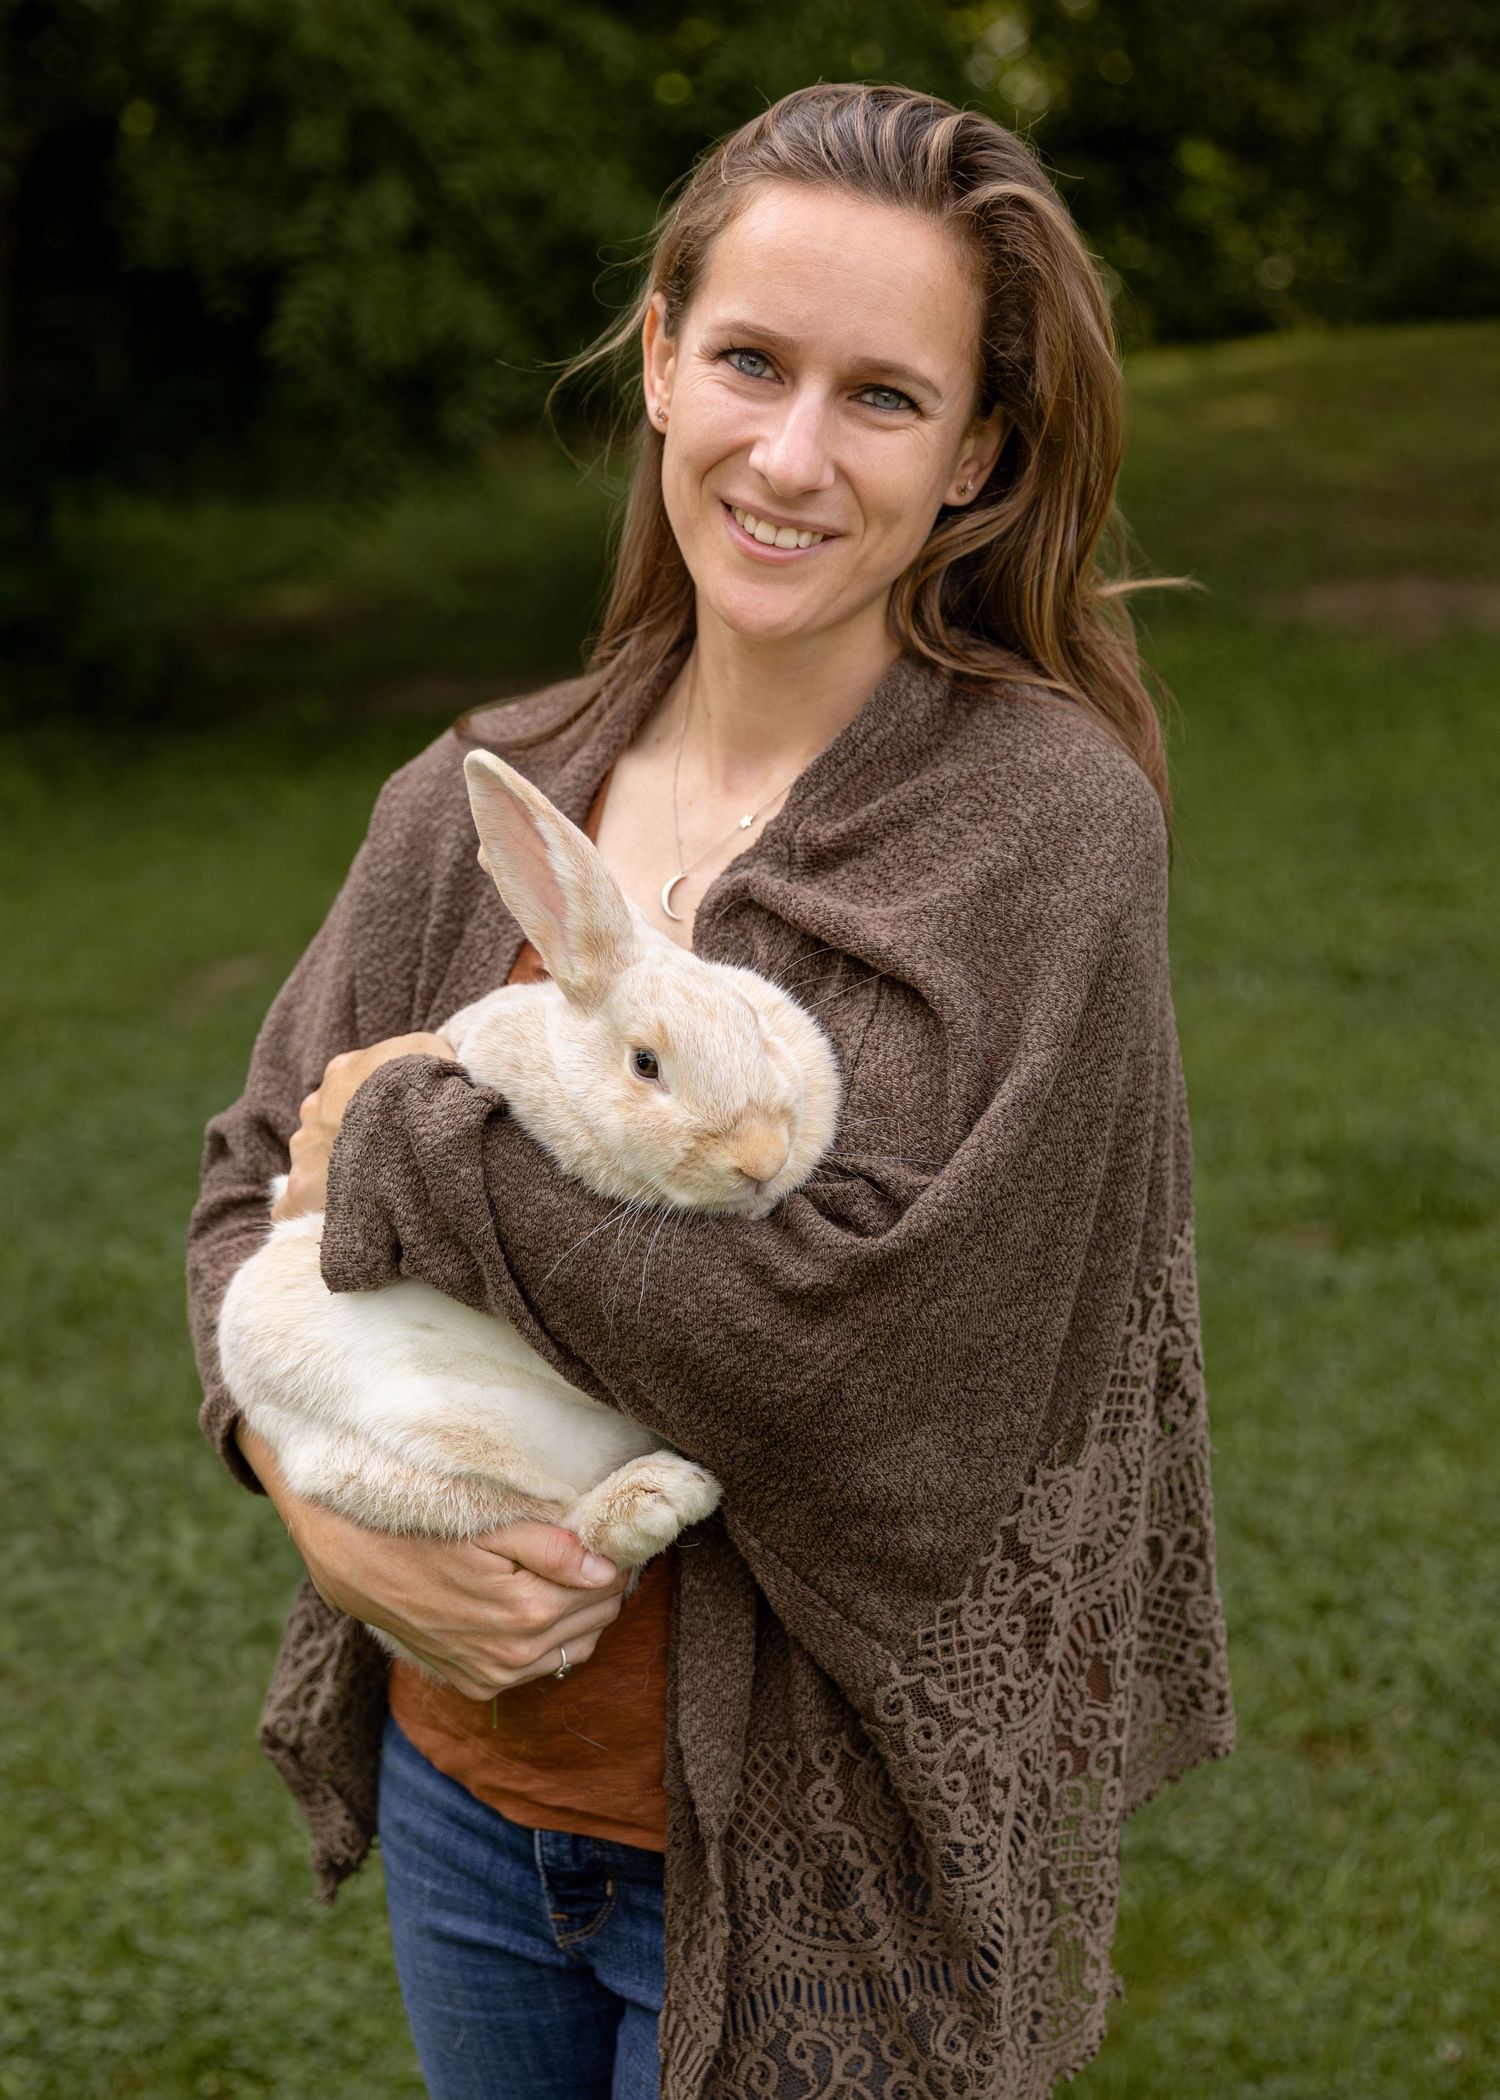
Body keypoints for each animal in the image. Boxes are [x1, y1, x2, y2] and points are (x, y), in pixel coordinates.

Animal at [217, 748, 843, 1669]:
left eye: (753, 1028)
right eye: (645, 1064)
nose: (760, 1159)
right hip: (378, 1442)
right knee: (553, 1531)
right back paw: (662, 1496)